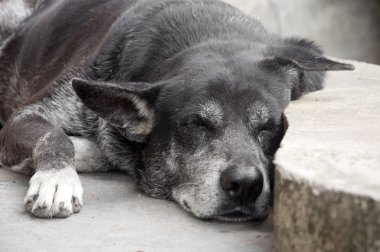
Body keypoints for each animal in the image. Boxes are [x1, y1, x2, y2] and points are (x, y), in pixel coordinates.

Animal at [0, 0, 354, 220]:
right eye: (196, 124)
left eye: (270, 127)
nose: (245, 185)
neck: (206, 32)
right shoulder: (27, 116)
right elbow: (56, 137)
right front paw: (56, 180)